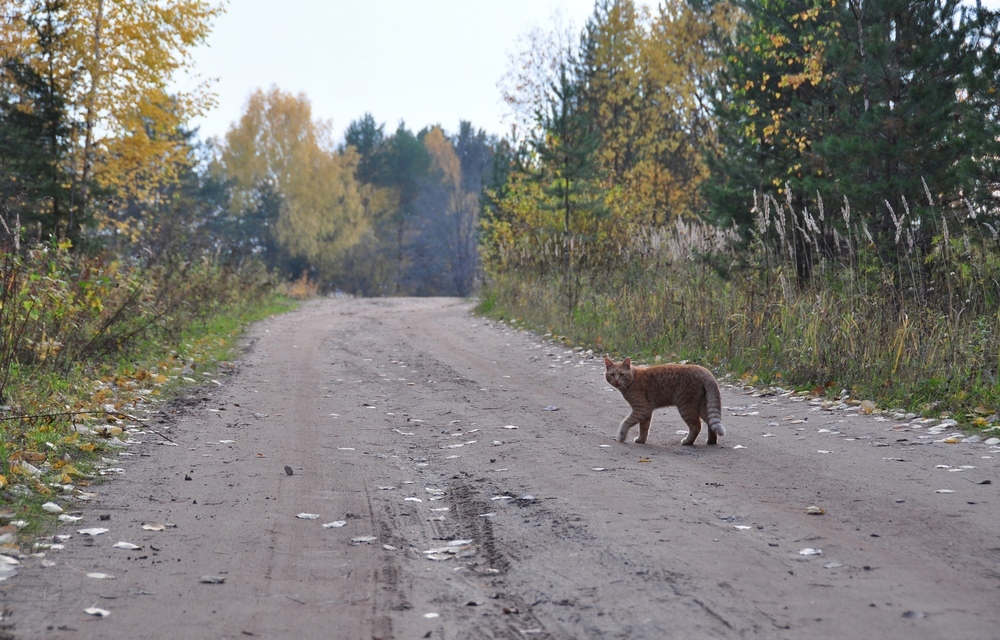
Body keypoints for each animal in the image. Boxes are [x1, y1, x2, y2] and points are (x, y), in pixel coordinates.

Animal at [600, 360, 728, 444]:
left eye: (622, 374)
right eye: (612, 374)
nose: (617, 381)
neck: (632, 380)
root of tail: (703, 369)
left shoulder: (642, 409)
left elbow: (626, 422)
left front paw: (621, 436)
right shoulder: (646, 412)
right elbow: (644, 428)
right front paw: (641, 440)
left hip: (686, 406)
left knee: (696, 426)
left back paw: (687, 441)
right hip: (702, 405)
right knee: (710, 423)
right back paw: (711, 441)